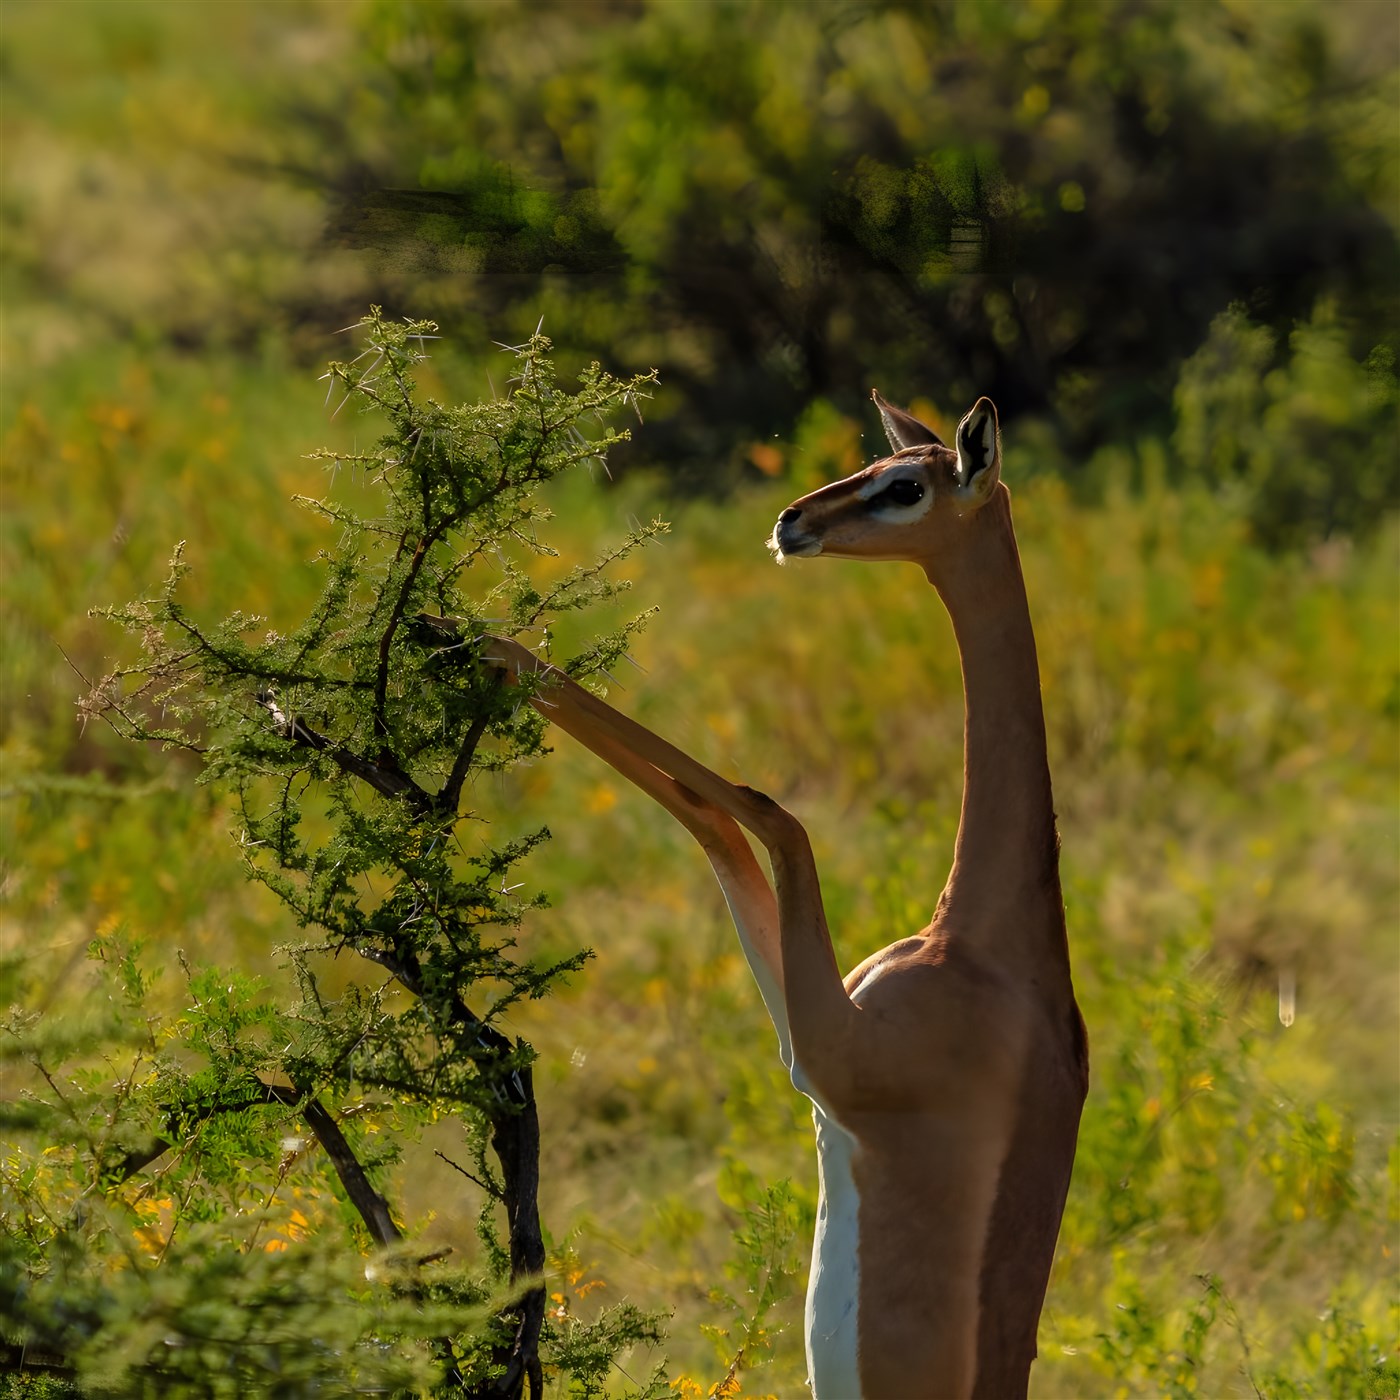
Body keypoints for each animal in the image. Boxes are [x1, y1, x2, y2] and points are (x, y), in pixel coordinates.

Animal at [487, 391, 1088, 1399]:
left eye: (905, 485)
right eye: (878, 463)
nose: (792, 520)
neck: (991, 949)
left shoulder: (828, 1061)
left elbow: (771, 814)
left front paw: (477, 642)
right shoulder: (813, 1034)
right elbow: (720, 826)